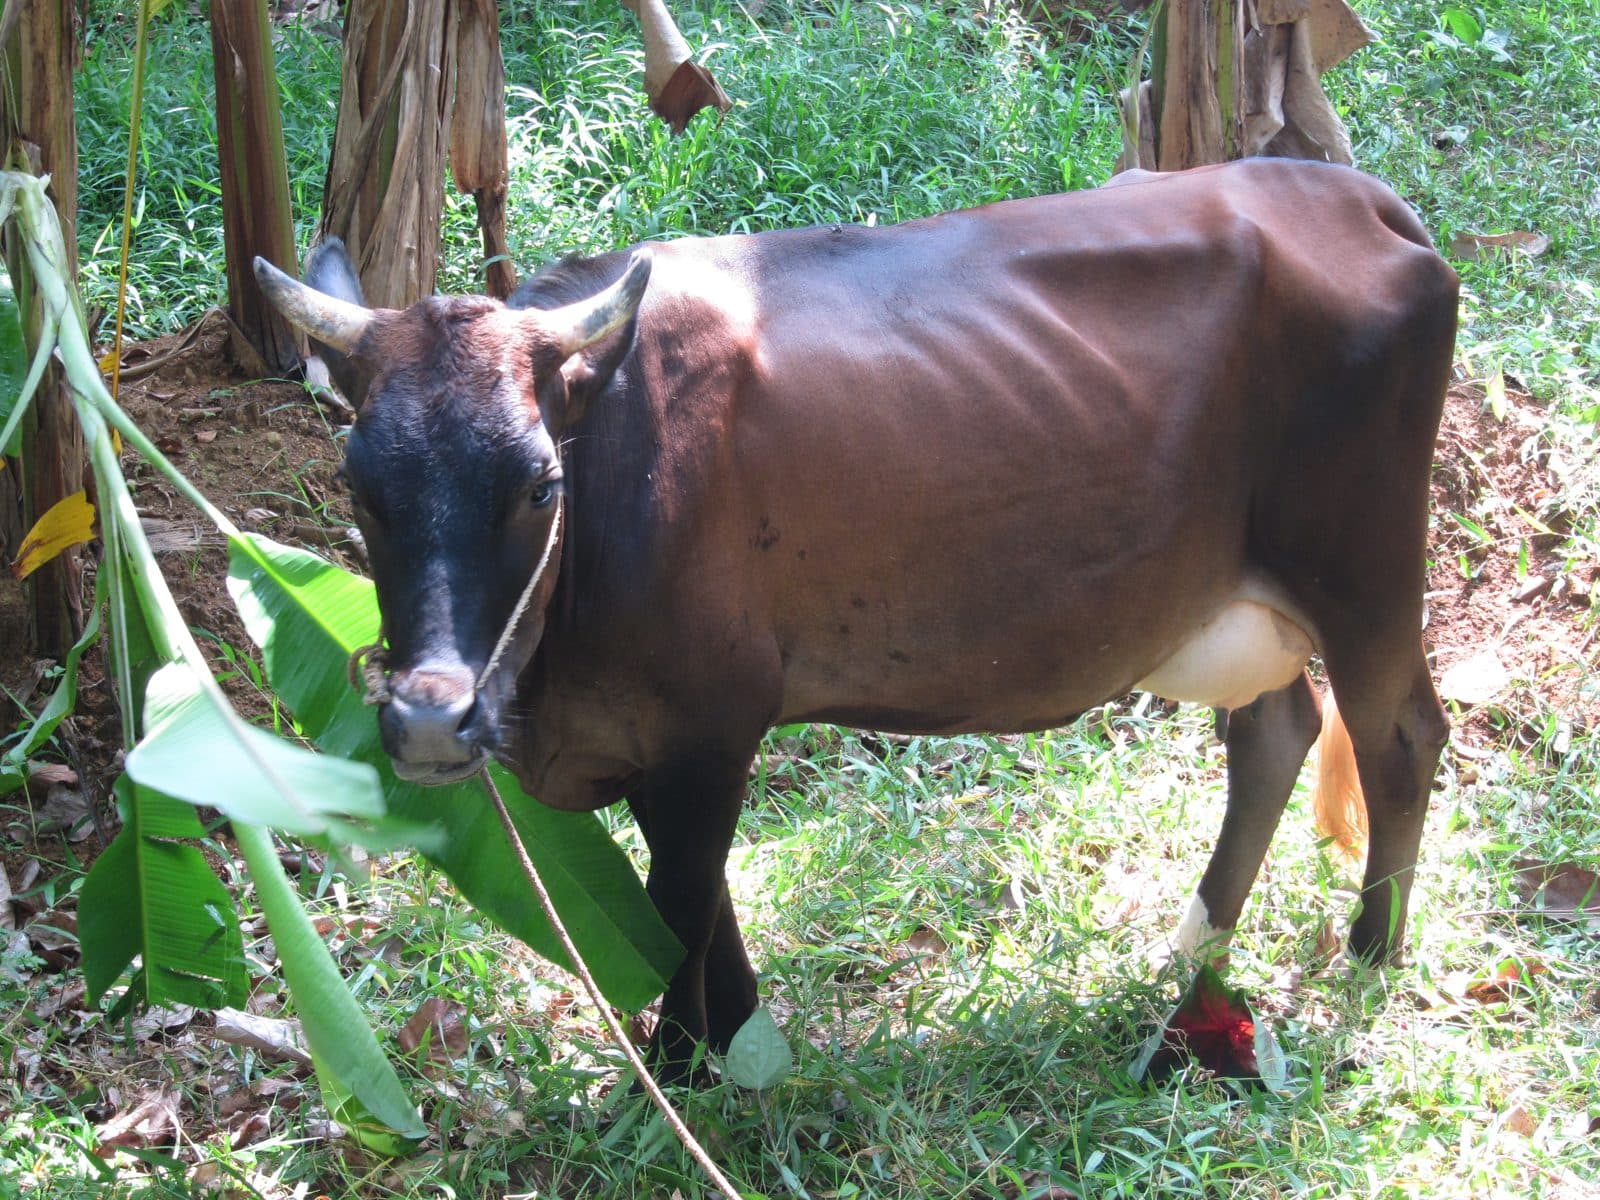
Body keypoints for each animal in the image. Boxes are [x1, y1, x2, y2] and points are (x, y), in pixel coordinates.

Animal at [254, 158, 1458, 1081]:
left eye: (541, 485)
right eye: (360, 485)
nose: (427, 721)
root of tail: (1352, 196)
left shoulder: (708, 726)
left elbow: (679, 902)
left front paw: (682, 1072)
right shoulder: (657, 738)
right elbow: (700, 904)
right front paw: (740, 1043)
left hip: (1363, 569)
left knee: (1399, 737)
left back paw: (1368, 956)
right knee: (1275, 729)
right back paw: (1192, 946)